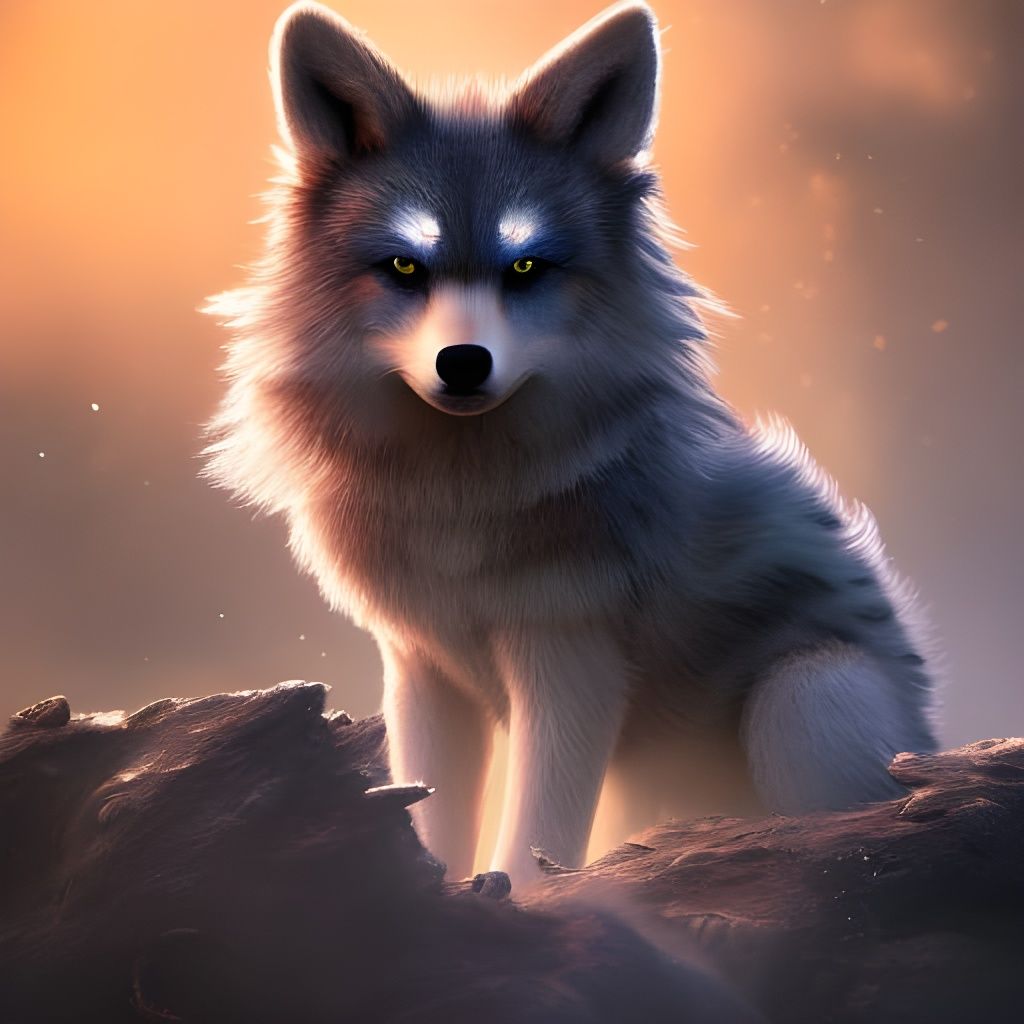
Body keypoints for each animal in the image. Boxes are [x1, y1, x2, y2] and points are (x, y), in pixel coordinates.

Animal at [204, 0, 938, 887]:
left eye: (525, 267)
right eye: (405, 267)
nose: (463, 362)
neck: (459, 512)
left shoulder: (572, 657)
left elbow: (537, 829)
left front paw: (519, 896)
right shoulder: (423, 667)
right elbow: (434, 812)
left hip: (806, 697)